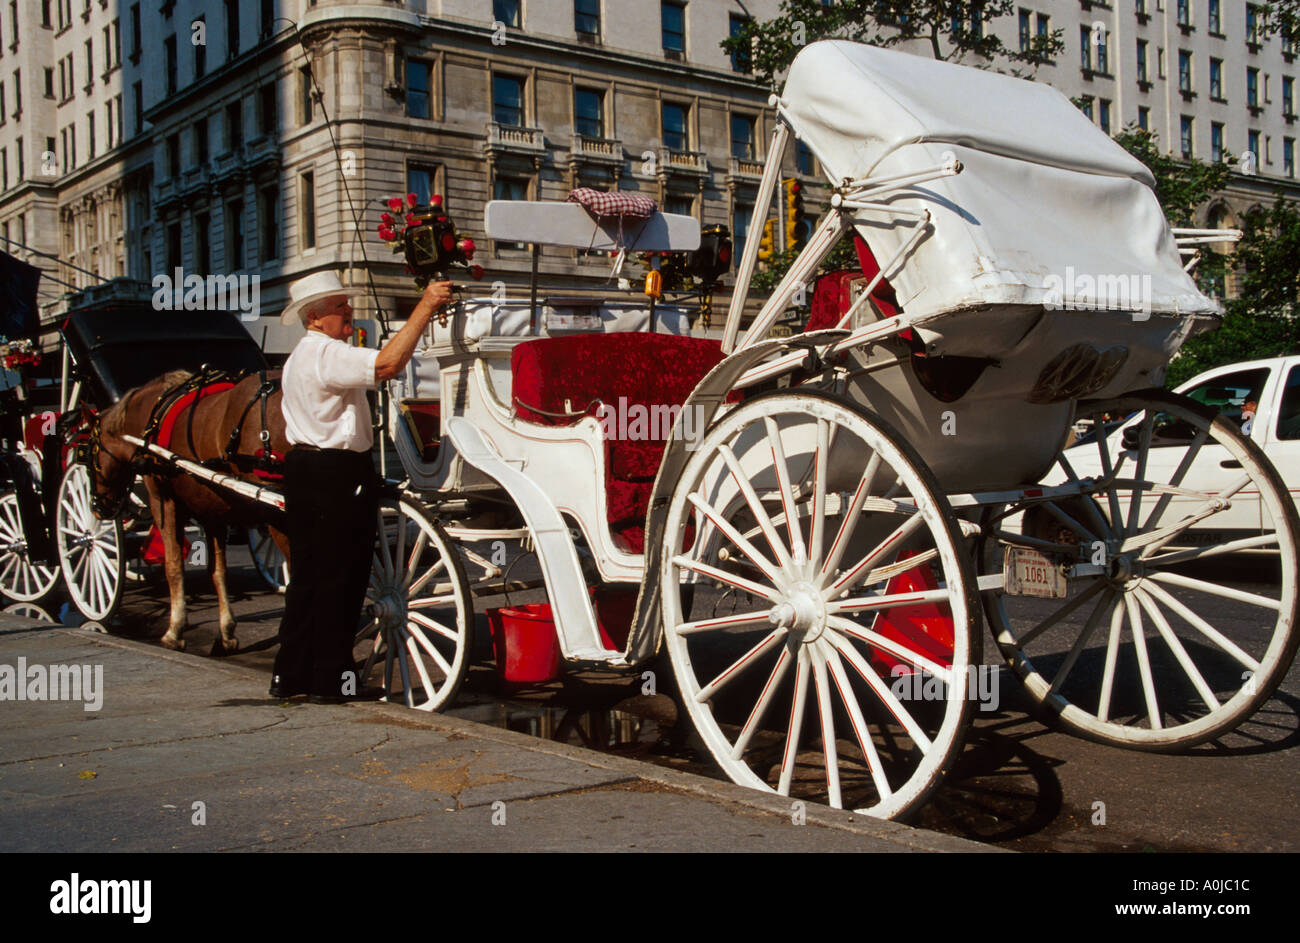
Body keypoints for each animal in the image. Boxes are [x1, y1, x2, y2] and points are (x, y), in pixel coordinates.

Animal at [89, 371, 295, 650]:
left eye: (89, 453)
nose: (98, 507)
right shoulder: (213, 510)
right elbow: (218, 571)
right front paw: (226, 630)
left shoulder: (163, 501)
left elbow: (174, 564)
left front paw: (175, 629)